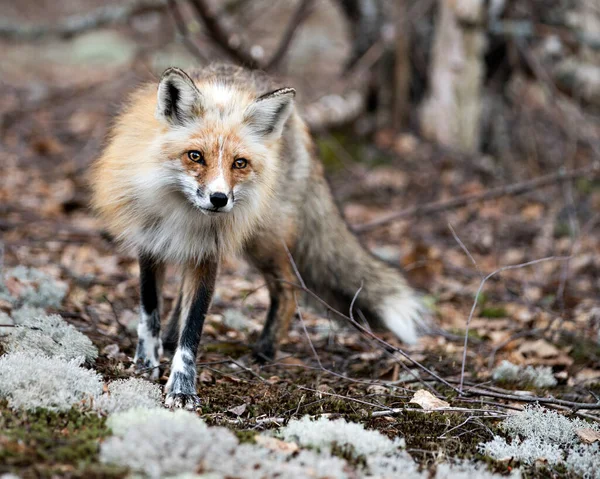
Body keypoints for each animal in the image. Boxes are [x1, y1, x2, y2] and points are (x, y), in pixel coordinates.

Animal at [91, 62, 428, 408]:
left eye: (239, 163)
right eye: (195, 156)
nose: (219, 199)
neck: (181, 211)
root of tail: (297, 123)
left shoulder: (209, 252)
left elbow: (193, 328)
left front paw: (182, 387)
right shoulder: (151, 242)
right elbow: (149, 312)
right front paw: (145, 364)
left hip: (262, 240)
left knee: (289, 290)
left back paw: (263, 352)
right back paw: (170, 340)